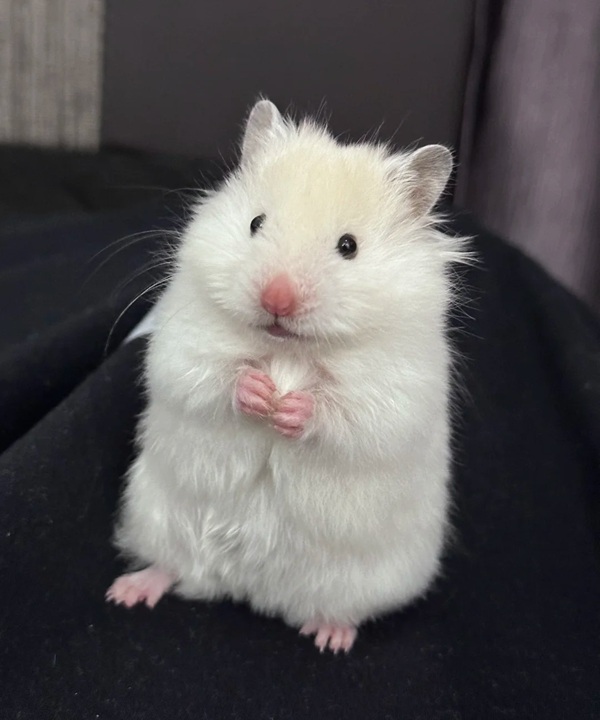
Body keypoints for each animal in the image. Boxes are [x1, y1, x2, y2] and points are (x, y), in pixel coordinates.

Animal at [106, 99, 467, 653]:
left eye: (348, 246)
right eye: (255, 222)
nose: (276, 299)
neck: (288, 349)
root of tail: (252, 590)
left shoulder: (398, 385)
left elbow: (354, 415)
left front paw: (291, 408)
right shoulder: (184, 339)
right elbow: (201, 375)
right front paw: (259, 393)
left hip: (373, 577)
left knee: (341, 608)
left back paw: (330, 637)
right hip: (156, 516)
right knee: (173, 567)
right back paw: (127, 591)